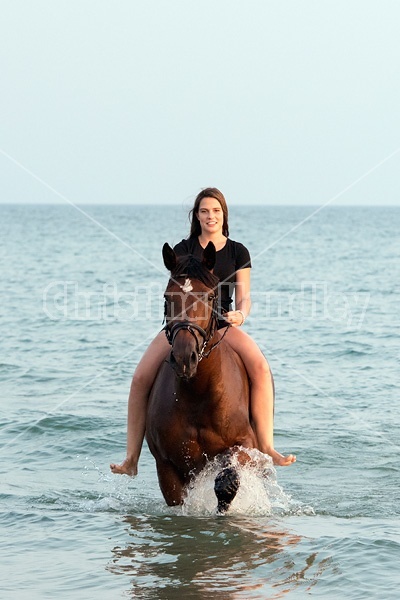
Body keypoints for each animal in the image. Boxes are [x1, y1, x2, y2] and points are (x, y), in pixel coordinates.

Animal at [145, 241, 258, 512]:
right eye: (167, 297)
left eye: (209, 296)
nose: (185, 357)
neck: (198, 393)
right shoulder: (166, 467)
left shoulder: (244, 444)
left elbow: (227, 482)